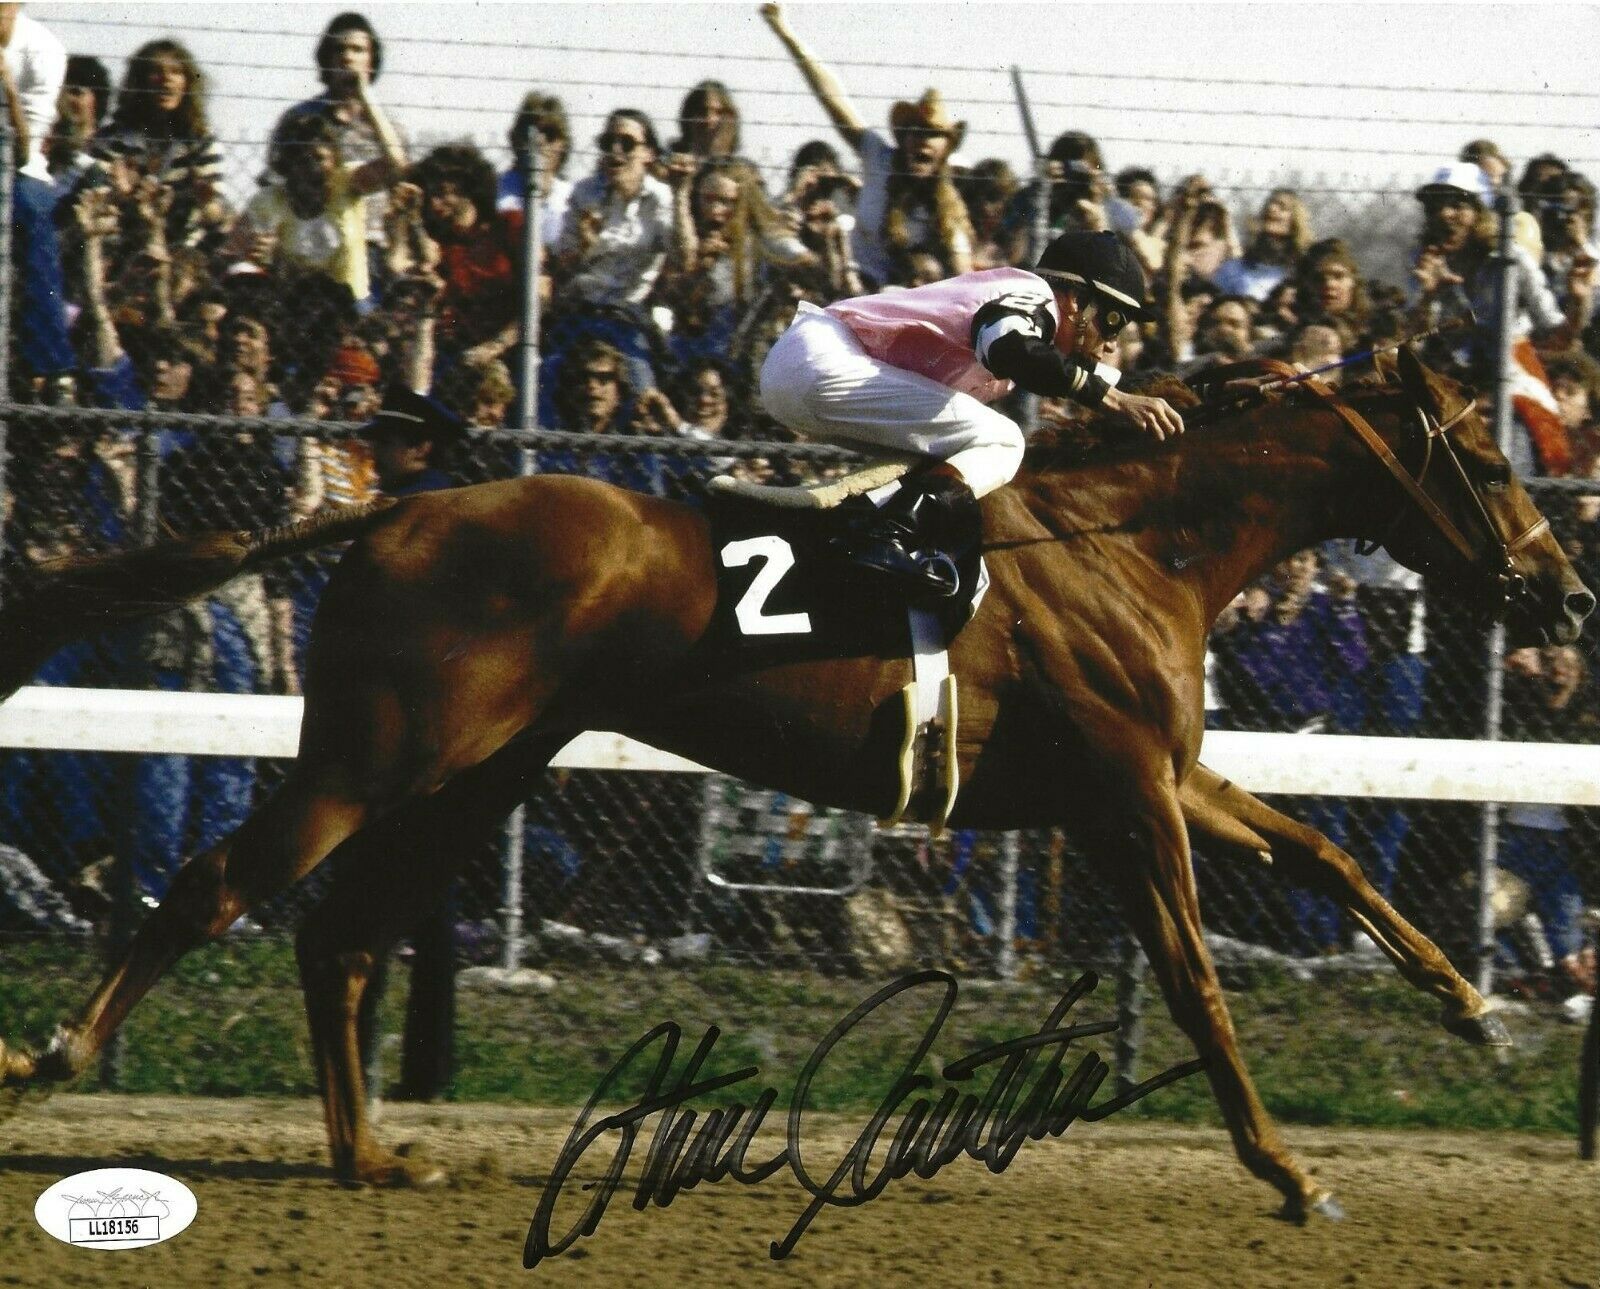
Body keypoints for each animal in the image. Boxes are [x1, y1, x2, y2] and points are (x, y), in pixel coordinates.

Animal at [0, 350, 1587, 1221]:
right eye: (1492, 452)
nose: (1563, 593)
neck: (1132, 539)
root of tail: (401, 506)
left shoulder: (1158, 775)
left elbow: (1328, 855)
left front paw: (1474, 1008)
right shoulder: (1126, 798)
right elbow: (1198, 981)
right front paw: (1290, 1172)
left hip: (481, 772)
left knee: (340, 935)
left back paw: (372, 1158)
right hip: (378, 752)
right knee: (220, 886)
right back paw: (57, 1058)